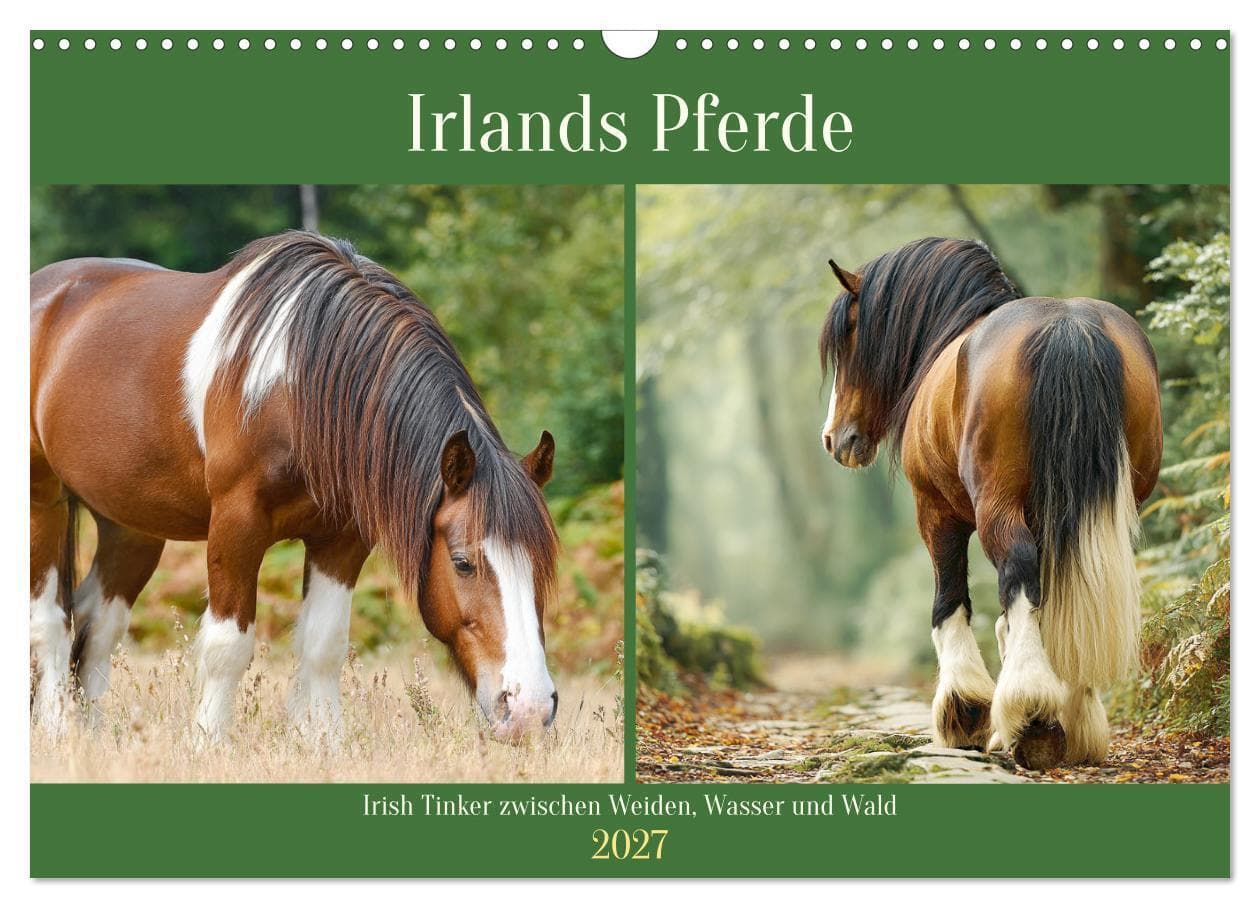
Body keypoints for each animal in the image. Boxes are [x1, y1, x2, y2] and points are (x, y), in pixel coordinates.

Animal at [30, 230, 561, 745]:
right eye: (463, 562)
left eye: (541, 566)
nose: (529, 710)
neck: (297, 389)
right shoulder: (237, 524)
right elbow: (228, 645)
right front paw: (209, 742)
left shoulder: (342, 539)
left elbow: (324, 644)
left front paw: (325, 742)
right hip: (43, 502)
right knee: (51, 620)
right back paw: (58, 729)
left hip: (131, 525)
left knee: (98, 624)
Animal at [818, 237, 1162, 770]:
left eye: (851, 335)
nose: (835, 438)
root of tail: (1068, 326)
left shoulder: (936, 511)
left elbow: (950, 602)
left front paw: (965, 710)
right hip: (1098, 511)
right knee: (1077, 583)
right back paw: (1072, 719)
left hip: (996, 505)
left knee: (1017, 571)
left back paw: (1032, 712)